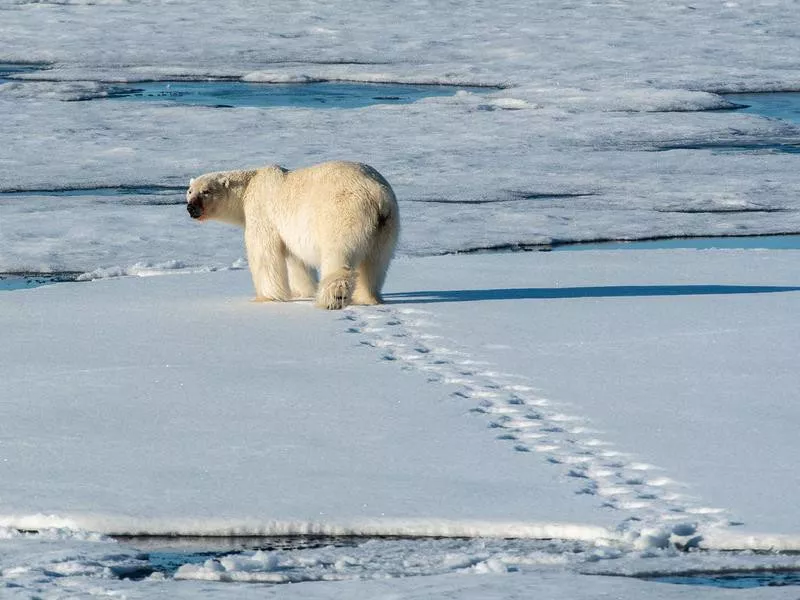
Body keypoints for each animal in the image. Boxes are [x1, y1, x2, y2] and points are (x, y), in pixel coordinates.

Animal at [188, 161, 400, 310]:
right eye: (189, 191)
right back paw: (368, 298)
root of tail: (377, 194)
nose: (190, 208)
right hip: (385, 227)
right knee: (375, 263)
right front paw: (302, 292)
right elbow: (297, 261)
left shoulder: (262, 211)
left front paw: (265, 297)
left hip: (344, 214)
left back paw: (332, 298)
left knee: (340, 254)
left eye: (205, 191)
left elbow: (264, 254)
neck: (250, 184)